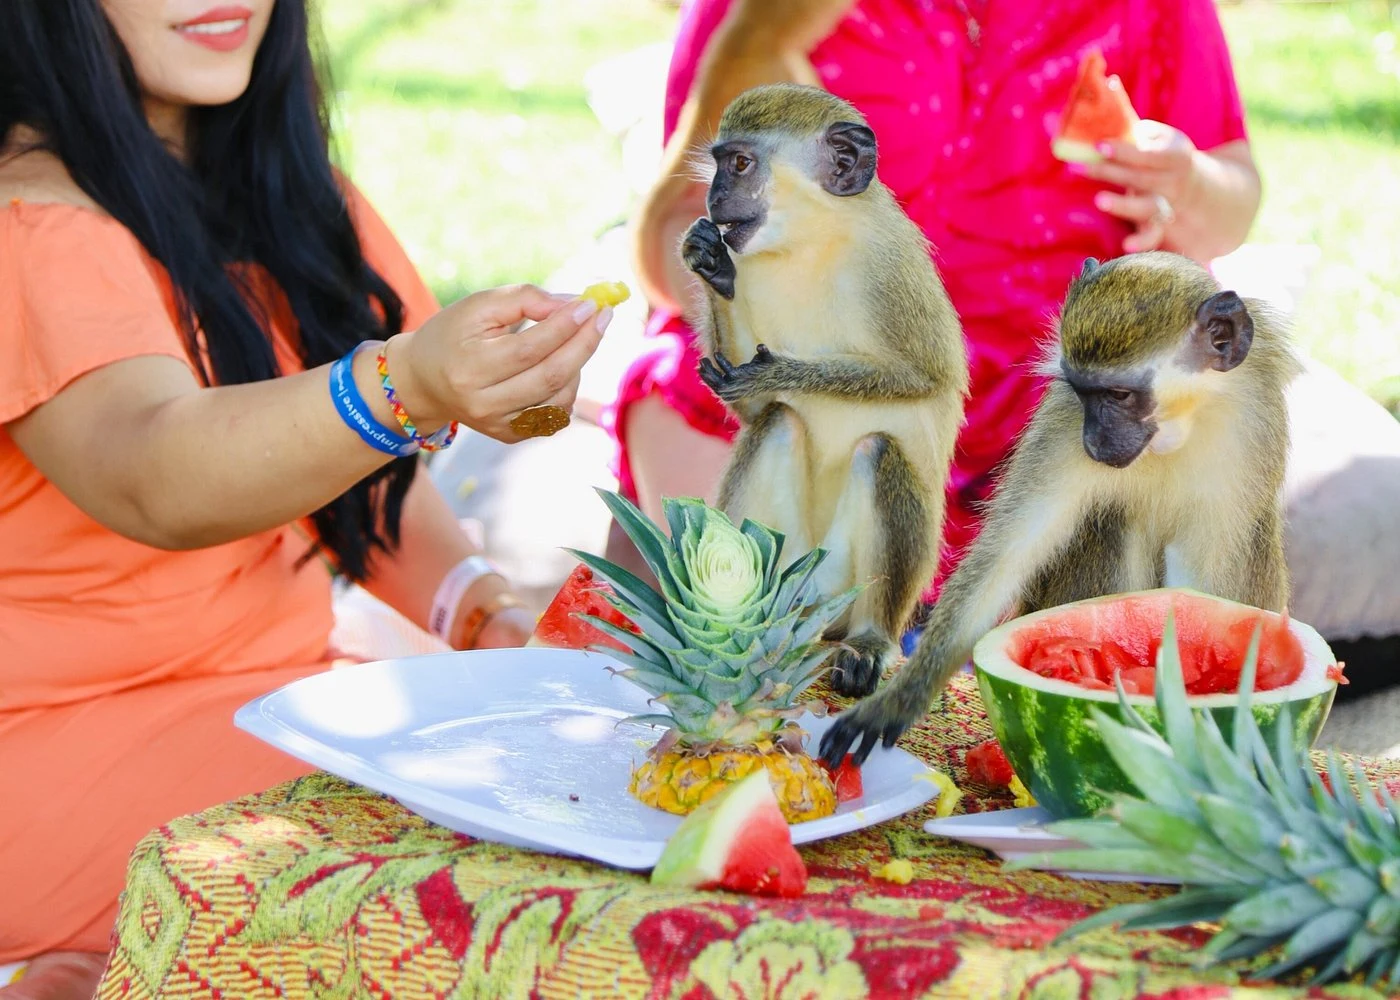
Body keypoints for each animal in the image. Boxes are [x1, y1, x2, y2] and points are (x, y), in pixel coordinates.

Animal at [677, 83, 969, 698]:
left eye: (741, 165)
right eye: (720, 164)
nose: (714, 200)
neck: (811, 242)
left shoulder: (891, 270)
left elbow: (926, 378)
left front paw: (778, 373)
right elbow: (755, 411)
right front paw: (710, 262)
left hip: (844, 586)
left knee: (880, 451)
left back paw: (868, 642)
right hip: (788, 562)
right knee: (778, 424)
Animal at [818, 250, 1304, 766]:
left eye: (1119, 395)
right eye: (1084, 391)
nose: (1094, 442)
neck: (1178, 428)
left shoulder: (1250, 431)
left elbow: (1202, 600)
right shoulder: (1063, 419)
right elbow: (1008, 555)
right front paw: (899, 701)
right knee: (1112, 521)